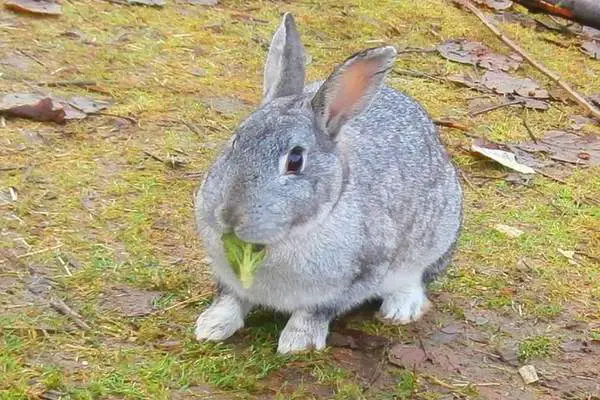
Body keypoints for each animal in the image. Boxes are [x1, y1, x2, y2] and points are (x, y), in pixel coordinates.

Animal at [195, 12, 462, 354]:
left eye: (295, 161)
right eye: (235, 140)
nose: (228, 216)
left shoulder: (359, 276)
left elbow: (316, 310)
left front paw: (298, 342)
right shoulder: (229, 276)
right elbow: (230, 298)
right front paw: (211, 326)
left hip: (438, 236)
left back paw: (401, 309)